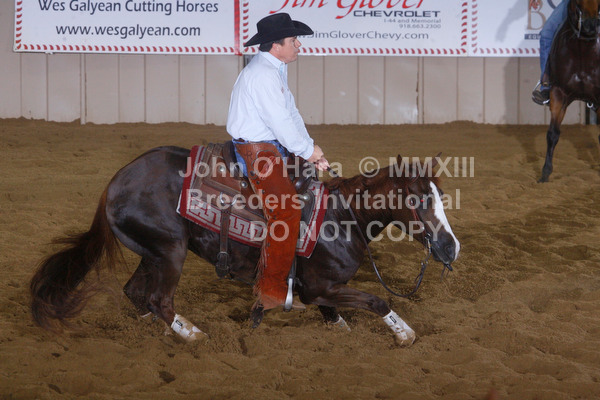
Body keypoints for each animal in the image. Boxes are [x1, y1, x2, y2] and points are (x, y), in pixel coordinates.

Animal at [29, 146, 460, 346]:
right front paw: (405, 334)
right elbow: (376, 300)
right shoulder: (318, 286)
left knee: (135, 292)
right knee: (157, 299)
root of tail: (115, 183)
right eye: (419, 199)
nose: (451, 247)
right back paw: (194, 335)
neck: (341, 217)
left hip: (153, 251)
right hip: (170, 251)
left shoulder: (322, 290)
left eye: (440, 195)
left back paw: (164, 329)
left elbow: (335, 316)